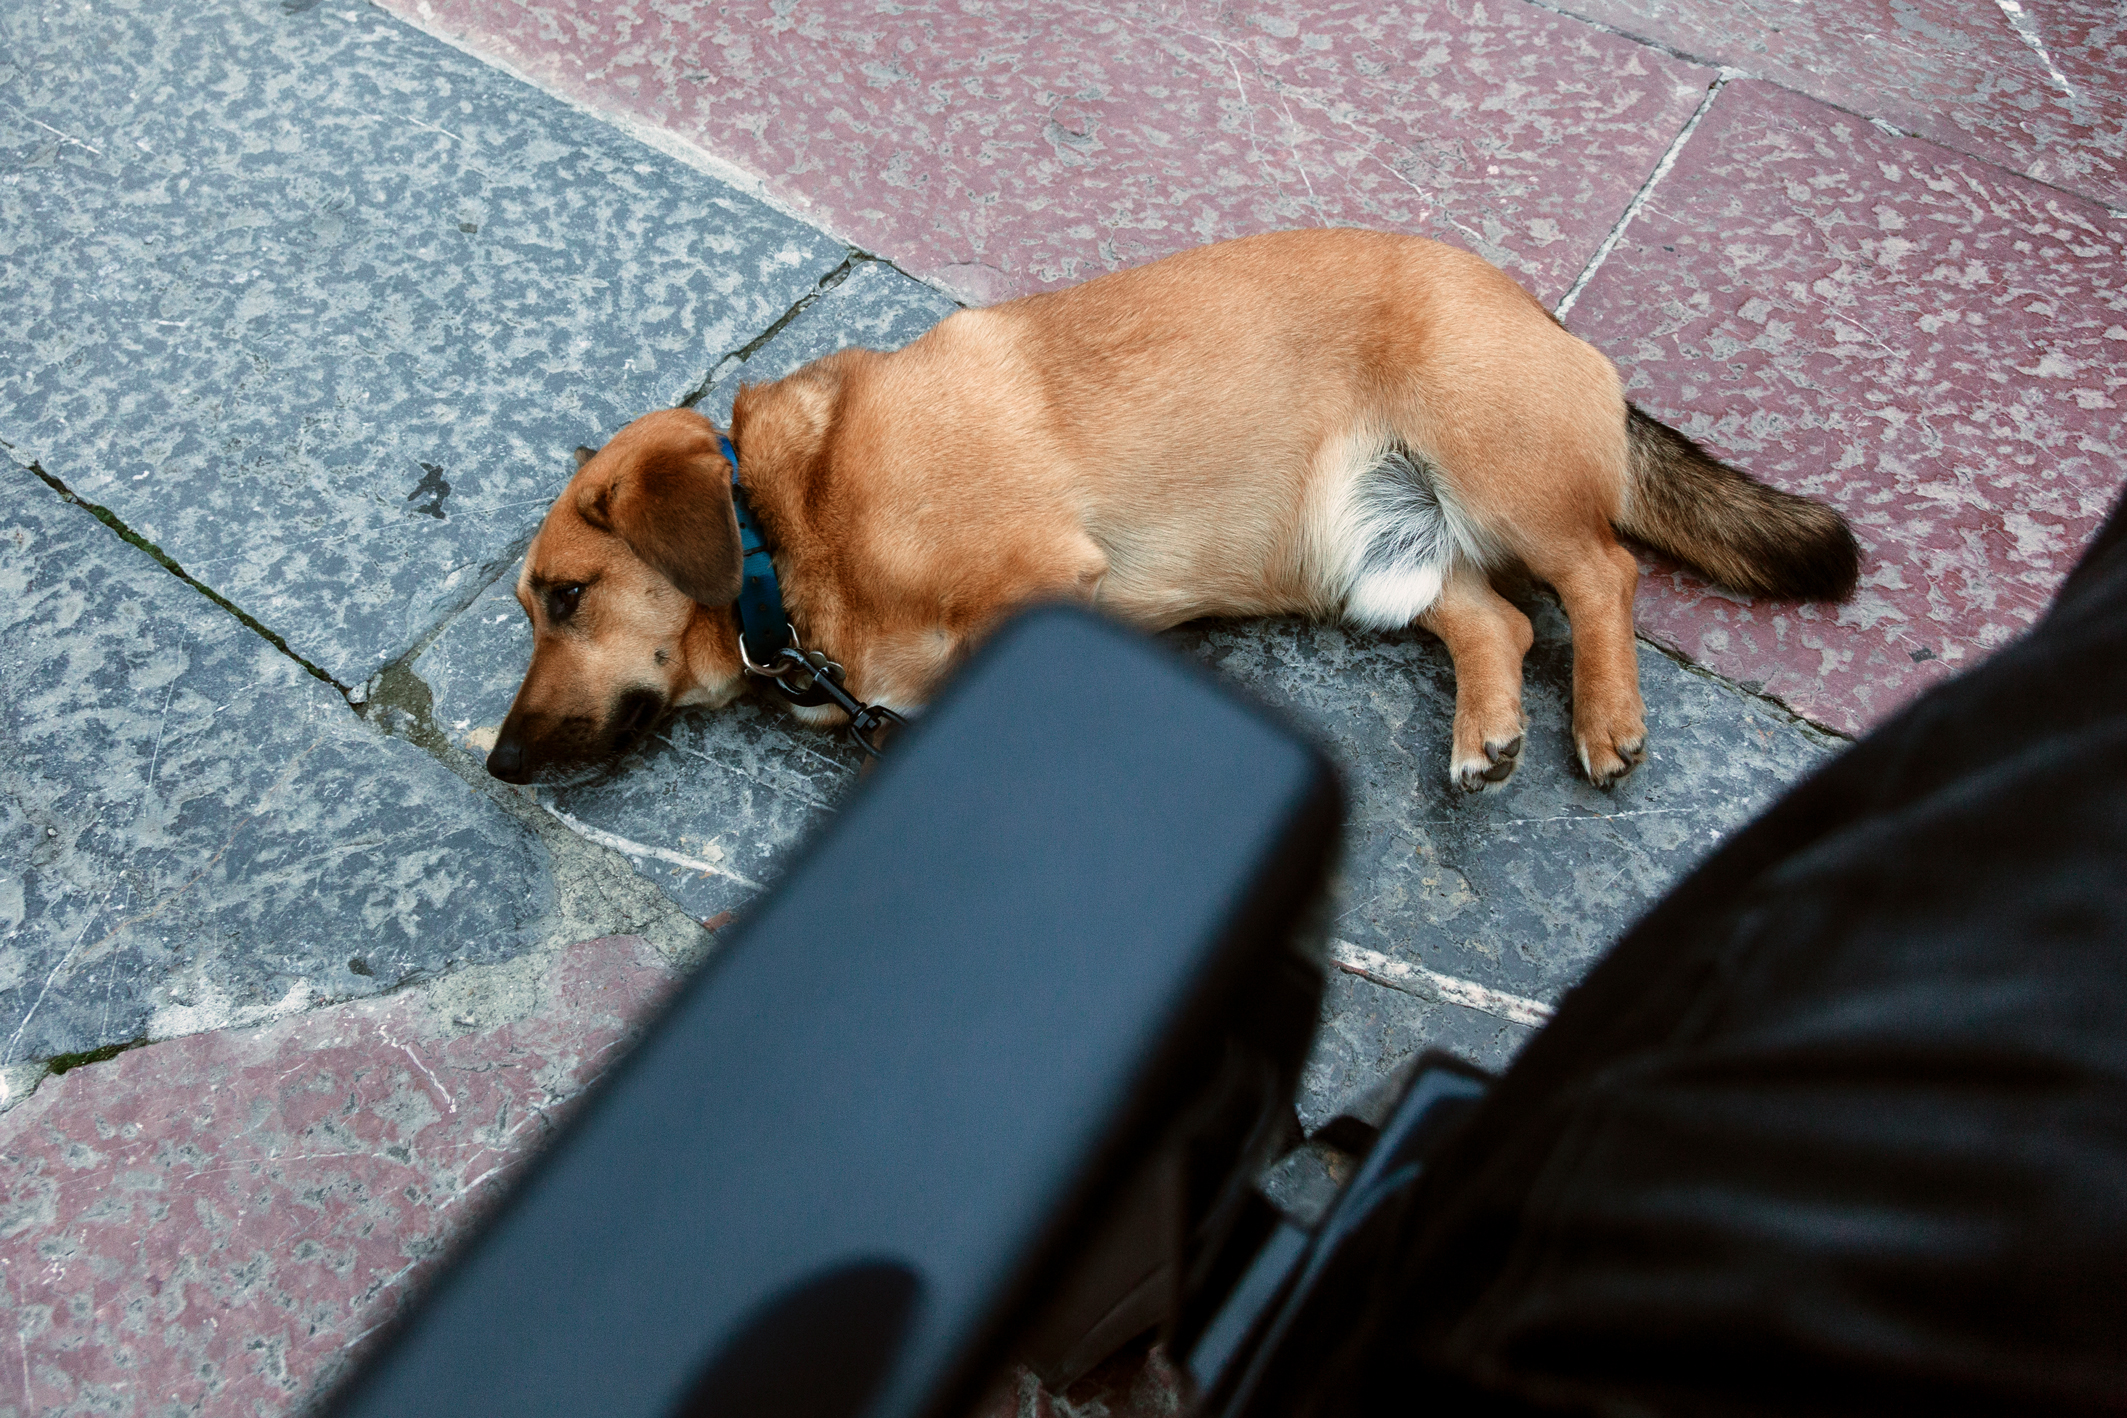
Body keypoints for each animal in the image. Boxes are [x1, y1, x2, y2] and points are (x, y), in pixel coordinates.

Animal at [487, 227, 1863, 795]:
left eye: (567, 595)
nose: (497, 763)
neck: (786, 521)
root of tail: (1541, 315)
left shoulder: (1038, 580)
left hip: (1496, 461)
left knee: (1598, 574)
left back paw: (1604, 716)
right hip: (1374, 559)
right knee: (1502, 622)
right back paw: (1487, 731)